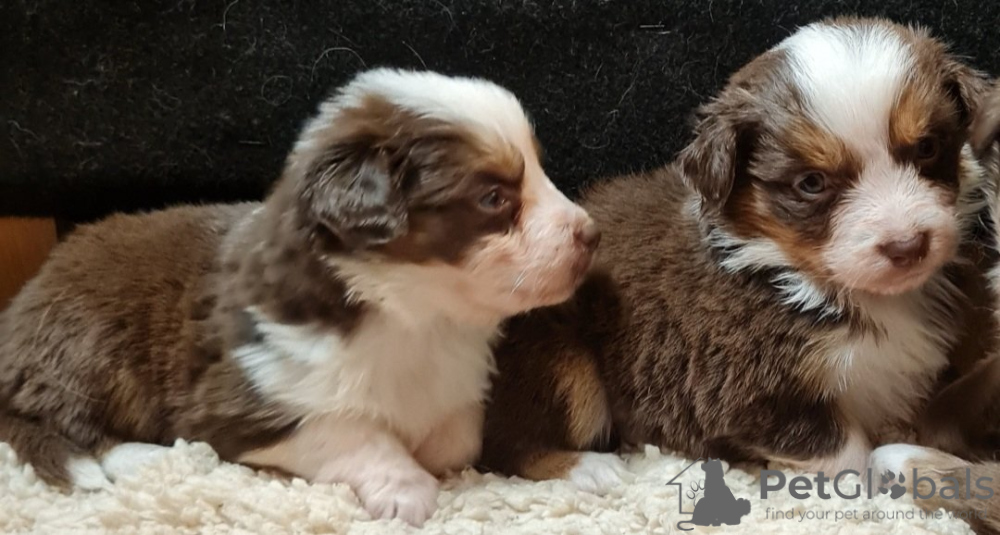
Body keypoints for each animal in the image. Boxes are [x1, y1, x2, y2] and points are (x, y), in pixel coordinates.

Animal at [0, 68, 599, 526]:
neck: (419, 318)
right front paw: (406, 488)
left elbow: (455, 438)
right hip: (85, 347)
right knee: (56, 423)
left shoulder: (457, 388)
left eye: (540, 170)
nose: (592, 234)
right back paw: (144, 459)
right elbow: (349, 431)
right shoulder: (242, 398)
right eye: (493, 197)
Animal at [477, 17, 994, 493]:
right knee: (506, 445)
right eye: (811, 183)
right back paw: (588, 468)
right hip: (563, 358)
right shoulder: (748, 391)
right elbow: (847, 451)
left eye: (927, 148)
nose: (908, 246)